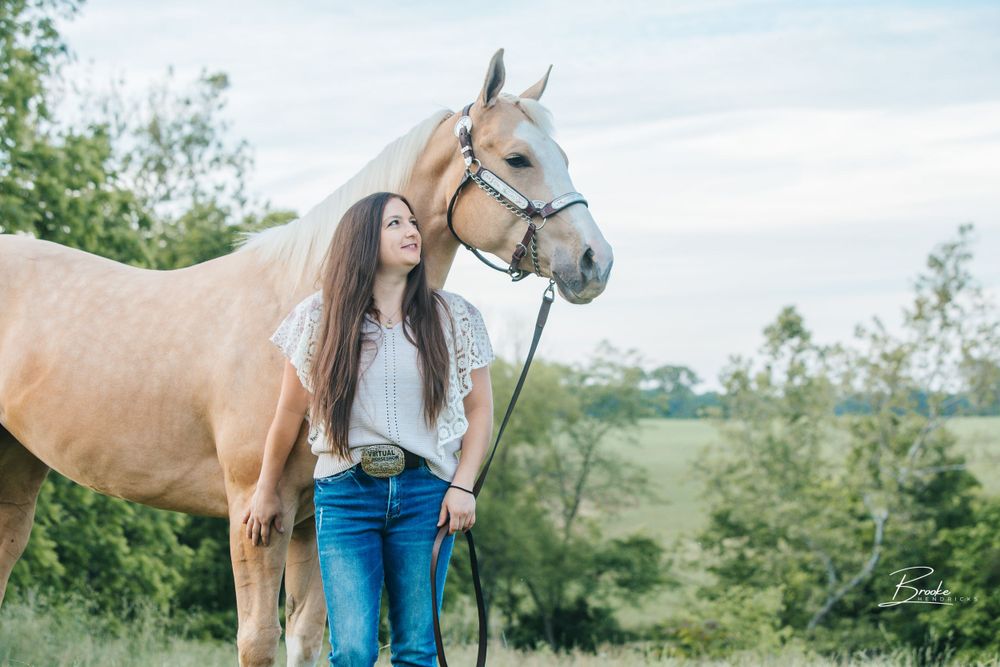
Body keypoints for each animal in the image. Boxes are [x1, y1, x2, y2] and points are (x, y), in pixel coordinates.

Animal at [0, 49, 613, 666]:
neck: (297, 298)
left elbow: (309, 635)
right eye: (517, 158)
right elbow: (258, 642)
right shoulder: (255, 512)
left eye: (562, 156)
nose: (595, 261)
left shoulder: (311, 522)